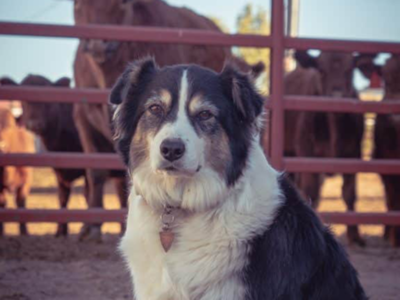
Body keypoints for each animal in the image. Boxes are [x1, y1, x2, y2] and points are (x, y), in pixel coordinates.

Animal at [0, 75, 88, 237]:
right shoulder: (60, 172)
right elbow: (63, 198)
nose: (34, 124)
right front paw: (61, 231)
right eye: (24, 101)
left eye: (48, 102)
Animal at [71, 0, 266, 240]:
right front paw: (91, 228)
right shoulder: (82, 118)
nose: (98, 45)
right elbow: (96, 173)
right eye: (78, 4)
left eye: (122, 4)